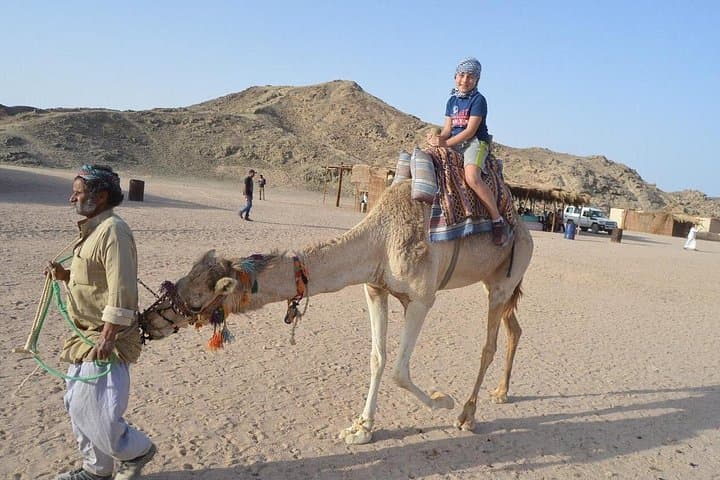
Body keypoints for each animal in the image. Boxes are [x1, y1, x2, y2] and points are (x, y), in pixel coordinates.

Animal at [142, 179, 533, 445]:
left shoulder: (422, 297)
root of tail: (525, 228)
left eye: (195, 303)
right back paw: (501, 392)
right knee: (514, 328)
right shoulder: (375, 288)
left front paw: (443, 400)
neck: (379, 240)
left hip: (507, 276)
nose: (148, 320)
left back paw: (467, 414)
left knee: (488, 346)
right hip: (494, 281)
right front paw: (361, 429)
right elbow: (378, 357)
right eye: (178, 282)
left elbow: (399, 371)